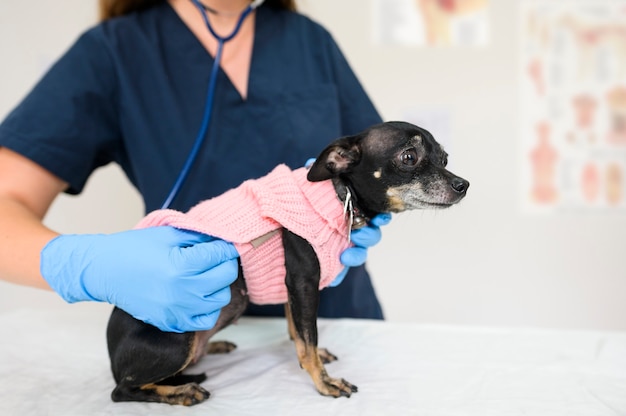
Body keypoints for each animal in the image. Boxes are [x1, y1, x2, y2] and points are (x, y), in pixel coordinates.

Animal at [105, 121, 466, 406]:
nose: (463, 185)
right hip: (178, 341)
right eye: (409, 157)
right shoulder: (304, 282)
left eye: (445, 159)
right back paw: (181, 392)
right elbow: (308, 337)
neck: (336, 195)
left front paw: (313, 358)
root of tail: (112, 354)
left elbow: (298, 330)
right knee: (122, 390)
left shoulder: (292, 287)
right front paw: (324, 381)